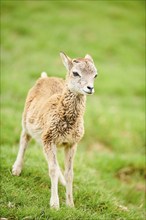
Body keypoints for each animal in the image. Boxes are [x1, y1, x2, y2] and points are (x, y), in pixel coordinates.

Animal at [12, 52, 97, 209]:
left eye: (95, 75)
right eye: (75, 73)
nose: (90, 88)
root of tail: (44, 77)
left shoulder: (71, 143)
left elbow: (70, 173)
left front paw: (70, 205)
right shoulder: (49, 138)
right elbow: (51, 169)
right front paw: (55, 205)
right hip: (26, 122)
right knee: (24, 138)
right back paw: (16, 169)